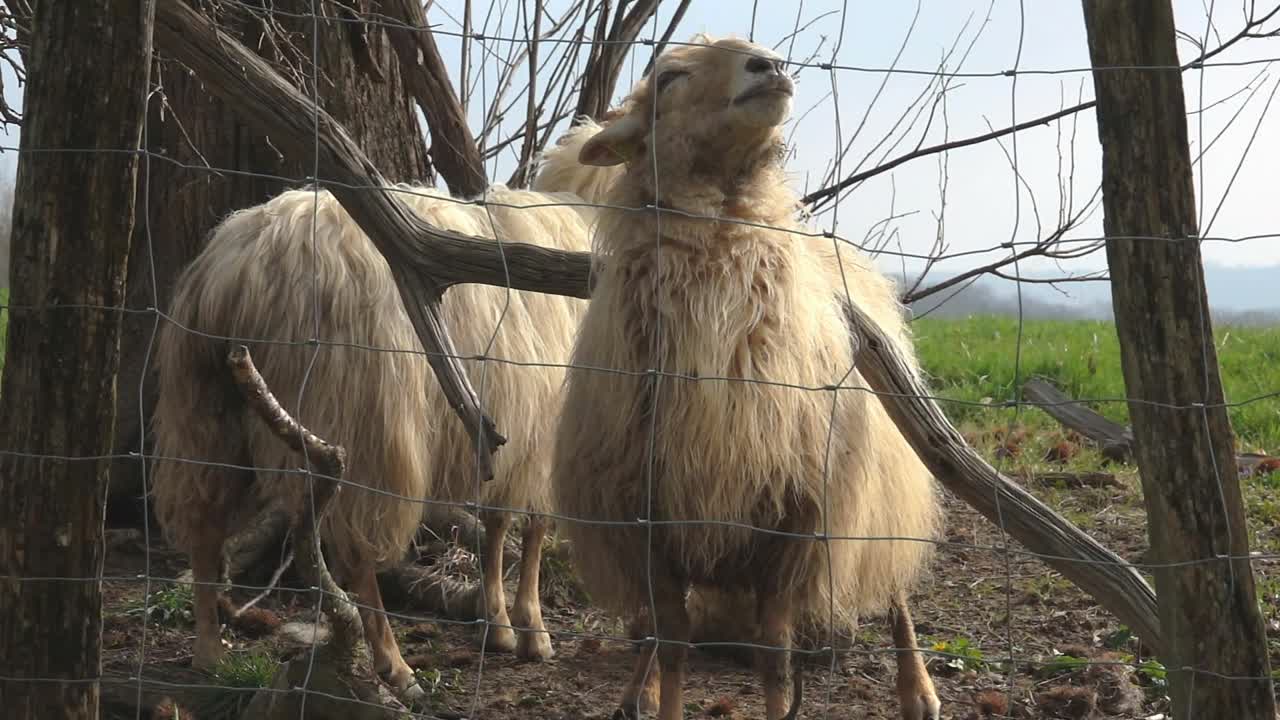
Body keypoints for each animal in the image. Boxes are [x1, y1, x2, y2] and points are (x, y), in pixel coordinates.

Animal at [152, 175, 591, 696]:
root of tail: (243, 268)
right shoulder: (543, 437)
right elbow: (532, 531)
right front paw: (532, 629)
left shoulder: (509, 434)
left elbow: (497, 526)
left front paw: (498, 625)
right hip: (361, 424)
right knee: (356, 554)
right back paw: (391, 662)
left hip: (206, 412)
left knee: (203, 525)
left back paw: (208, 652)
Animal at [545, 35, 947, 717]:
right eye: (670, 77)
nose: (770, 65)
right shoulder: (647, 523)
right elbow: (673, 646)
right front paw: (660, 694)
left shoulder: (793, 526)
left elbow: (774, 660)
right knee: (653, 634)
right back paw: (637, 690)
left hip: (882, 486)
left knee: (896, 591)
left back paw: (917, 688)